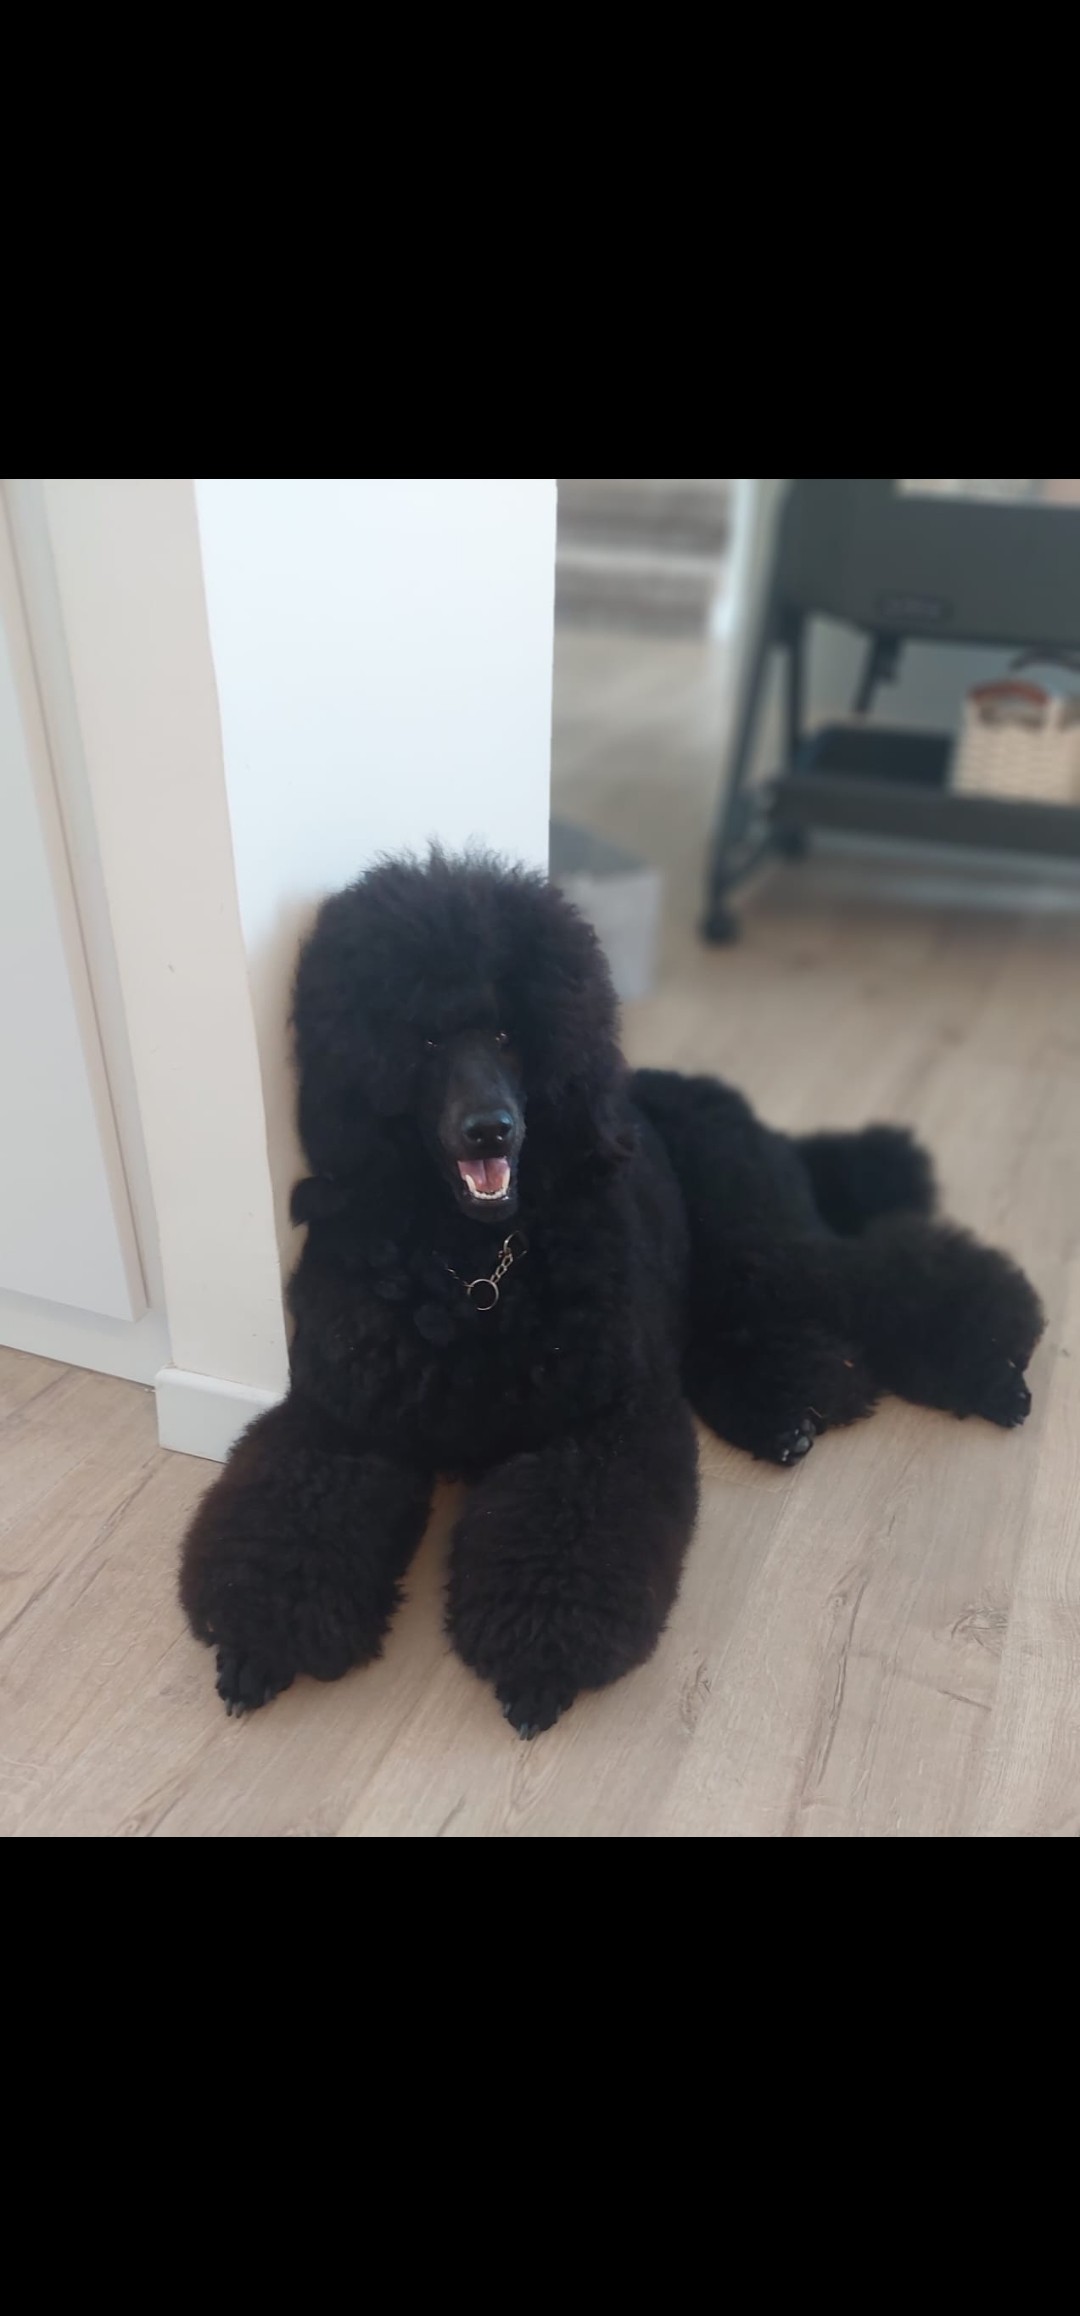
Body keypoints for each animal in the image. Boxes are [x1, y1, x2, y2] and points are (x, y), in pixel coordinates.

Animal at [179, 850, 1044, 1736]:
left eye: (506, 1033)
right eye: (421, 1038)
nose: (490, 1129)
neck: (474, 1270)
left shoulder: (599, 1422)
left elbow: (568, 1546)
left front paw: (537, 1666)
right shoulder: (343, 1418)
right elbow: (292, 1523)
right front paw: (258, 1644)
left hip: (762, 1237)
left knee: (884, 1280)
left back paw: (991, 1372)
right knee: (732, 1338)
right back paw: (784, 1413)